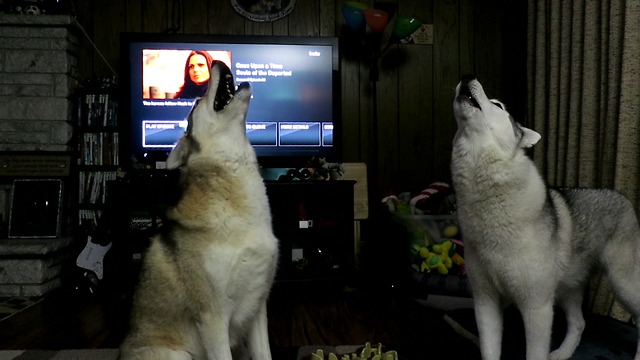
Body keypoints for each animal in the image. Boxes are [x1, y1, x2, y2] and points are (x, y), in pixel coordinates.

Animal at [119, 62, 278, 360]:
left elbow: (265, 354)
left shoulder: (258, 307)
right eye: (194, 103)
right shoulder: (213, 317)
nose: (217, 62)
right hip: (178, 355)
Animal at [450, 74, 640, 360]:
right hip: (568, 287)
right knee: (579, 322)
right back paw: (562, 353)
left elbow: (535, 352)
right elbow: (490, 350)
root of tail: (624, 198)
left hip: (623, 284)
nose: (466, 77)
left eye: (498, 104)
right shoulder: (485, 302)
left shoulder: (536, 307)